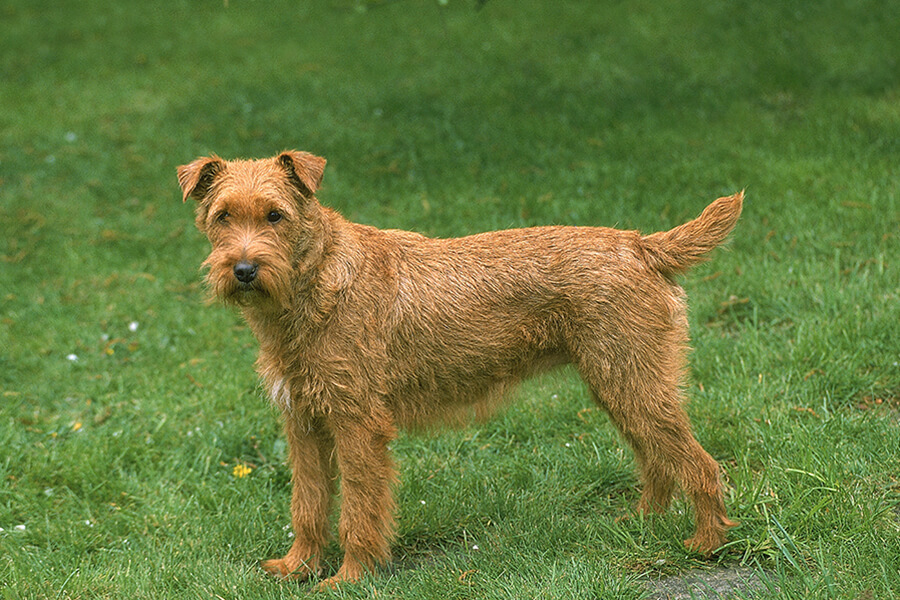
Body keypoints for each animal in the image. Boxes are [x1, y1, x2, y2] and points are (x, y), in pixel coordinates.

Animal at [176, 150, 740, 584]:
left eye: (275, 215)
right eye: (223, 216)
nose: (243, 270)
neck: (315, 281)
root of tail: (642, 245)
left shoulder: (358, 424)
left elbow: (357, 510)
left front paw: (349, 578)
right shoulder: (303, 422)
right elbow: (309, 504)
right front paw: (297, 568)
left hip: (632, 382)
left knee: (700, 465)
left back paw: (705, 543)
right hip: (621, 385)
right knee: (658, 460)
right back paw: (642, 522)